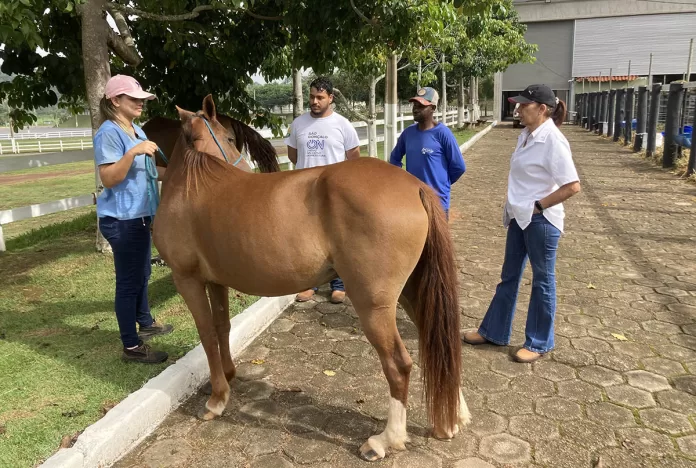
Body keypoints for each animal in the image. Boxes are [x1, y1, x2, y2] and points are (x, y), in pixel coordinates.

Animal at [151, 94, 468, 460]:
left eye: (231, 138)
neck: (193, 185)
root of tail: (415, 186)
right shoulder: (216, 281)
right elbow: (221, 327)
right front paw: (229, 376)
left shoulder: (187, 279)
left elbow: (205, 333)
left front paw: (216, 400)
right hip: (413, 292)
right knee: (438, 341)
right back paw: (451, 420)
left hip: (374, 305)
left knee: (399, 365)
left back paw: (384, 440)